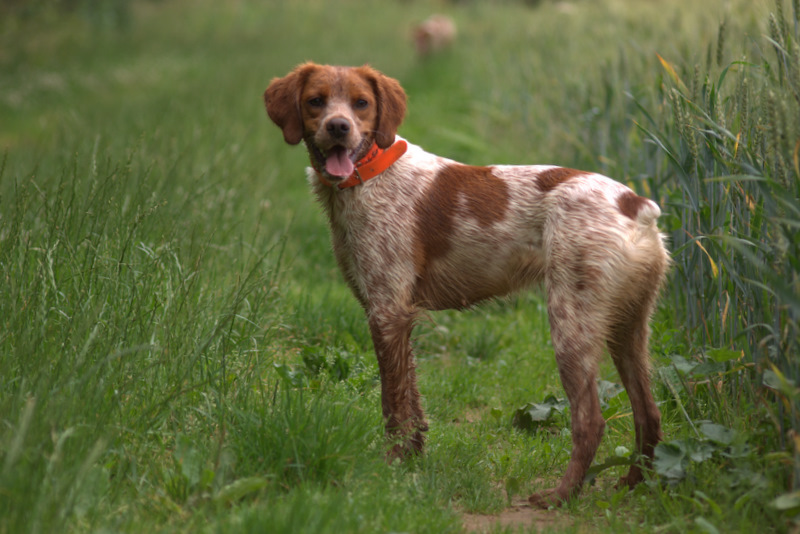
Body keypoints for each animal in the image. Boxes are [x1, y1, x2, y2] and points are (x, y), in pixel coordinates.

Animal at [264, 63, 668, 510]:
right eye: (316, 101)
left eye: (361, 103)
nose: (339, 127)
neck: (371, 173)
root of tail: (636, 206)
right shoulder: (398, 315)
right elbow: (412, 401)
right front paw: (413, 460)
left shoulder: (386, 311)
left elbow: (393, 404)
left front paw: (390, 469)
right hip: (628, 328)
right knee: (648, 412)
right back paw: (633, 483)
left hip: (571, 325)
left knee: (590, 420)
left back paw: (561, 495)